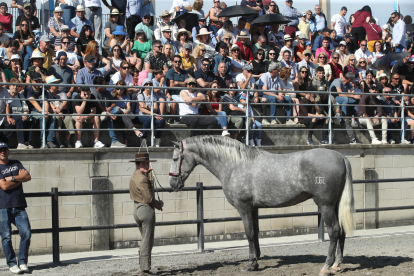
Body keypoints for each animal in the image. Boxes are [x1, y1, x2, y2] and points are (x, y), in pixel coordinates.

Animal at [168, 136, 356, 274]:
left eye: (176, 158)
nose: (172, 184)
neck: (235, 164)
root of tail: (341, 157)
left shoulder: (244, 207)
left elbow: (249, 233)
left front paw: (251, 264)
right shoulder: (254, 208)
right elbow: (256, 232)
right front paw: (257, 260)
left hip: (325, 205)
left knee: (334, 232)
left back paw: (326, 266)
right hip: (335, 205)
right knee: (341, 232)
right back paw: (337, 265)